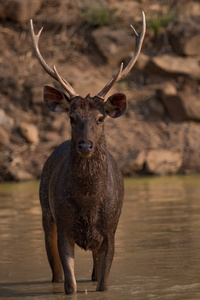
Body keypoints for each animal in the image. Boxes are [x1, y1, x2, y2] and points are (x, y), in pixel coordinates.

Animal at [29, 12, 145, 294]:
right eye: (72, 117)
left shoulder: (110, 231)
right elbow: (69, 285)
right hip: (46, 213)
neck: (89, 204)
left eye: (100, 118)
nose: (85, 146)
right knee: (55, 273)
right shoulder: (63, 228)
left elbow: (102, 284)